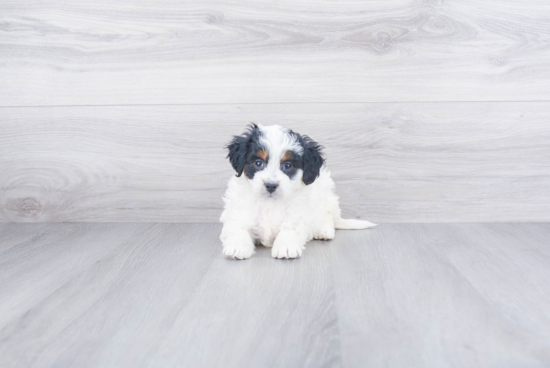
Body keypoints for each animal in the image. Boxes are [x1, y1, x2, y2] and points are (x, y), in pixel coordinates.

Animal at [220, 123, 376, 258]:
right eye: (258, 163)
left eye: (287, 165)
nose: (271, 185)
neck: (271, 203)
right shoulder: (239, 210)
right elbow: (238, 226)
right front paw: (237, 246)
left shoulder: (298, 212)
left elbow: (291, 226)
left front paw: (286, 246)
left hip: (326, 191)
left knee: (327, 215)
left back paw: (324, 230)